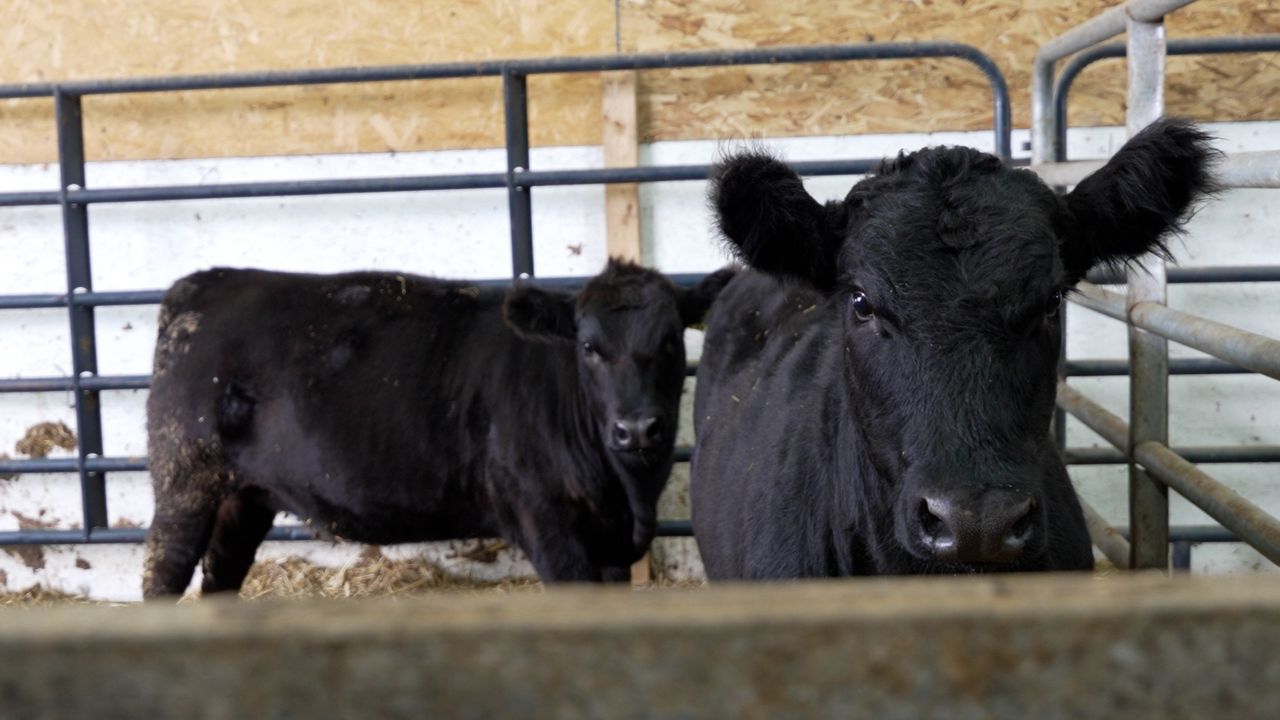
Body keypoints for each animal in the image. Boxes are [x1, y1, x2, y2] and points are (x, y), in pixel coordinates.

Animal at [142, 259, 734, 597]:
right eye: (588, 346)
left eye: (671, 340)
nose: (637, 428)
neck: (626, 492)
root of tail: (203, 286)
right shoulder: (549, 524)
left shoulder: (609, 544)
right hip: (185, 480)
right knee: (164, 574)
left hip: (244, 496)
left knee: (222, 574)